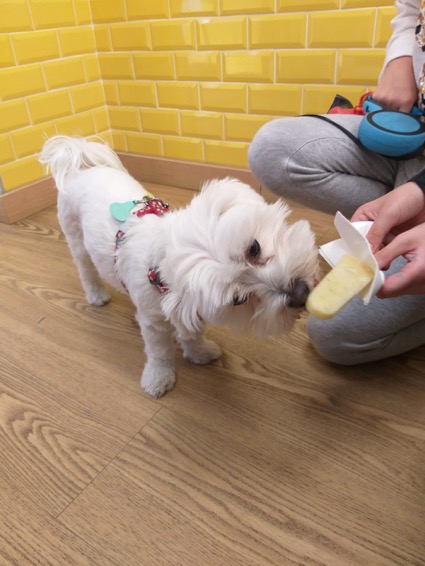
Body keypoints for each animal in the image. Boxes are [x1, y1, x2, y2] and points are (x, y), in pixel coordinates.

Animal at [39, 138, 316, 400]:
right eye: (238, 300)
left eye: (254, 248)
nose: (300, 294)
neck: (158, 271)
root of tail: (80, 165)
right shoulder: (153, 322)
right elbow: (159, 352)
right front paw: (158, 377)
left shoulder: (188, 309)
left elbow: (192, 333)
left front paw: (199, 352)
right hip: (76, 238)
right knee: (86, 270)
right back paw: (96, 295)